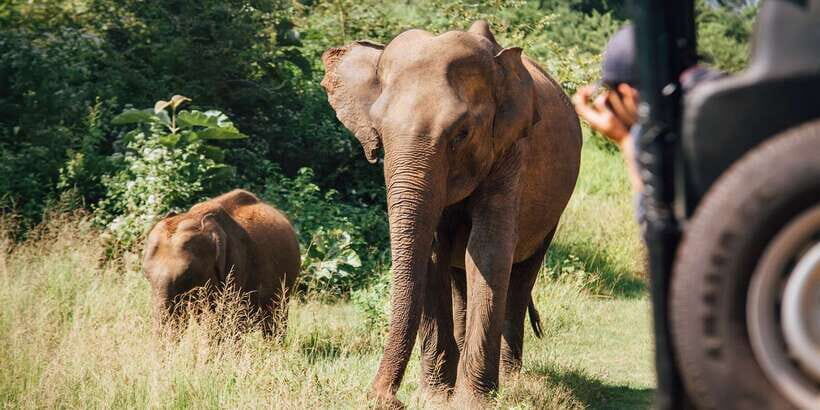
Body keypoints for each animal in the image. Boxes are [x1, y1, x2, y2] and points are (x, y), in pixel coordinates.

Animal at [321, 20, 581, 406]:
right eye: (379, 132)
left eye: (461, 134)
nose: (387, 399)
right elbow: (432, 256)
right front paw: (434, 398)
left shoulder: (511, 150)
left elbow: (487, 252)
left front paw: (473, 402)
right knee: (459, 276)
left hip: (553, 211)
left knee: (521, 274)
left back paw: (512, 379)